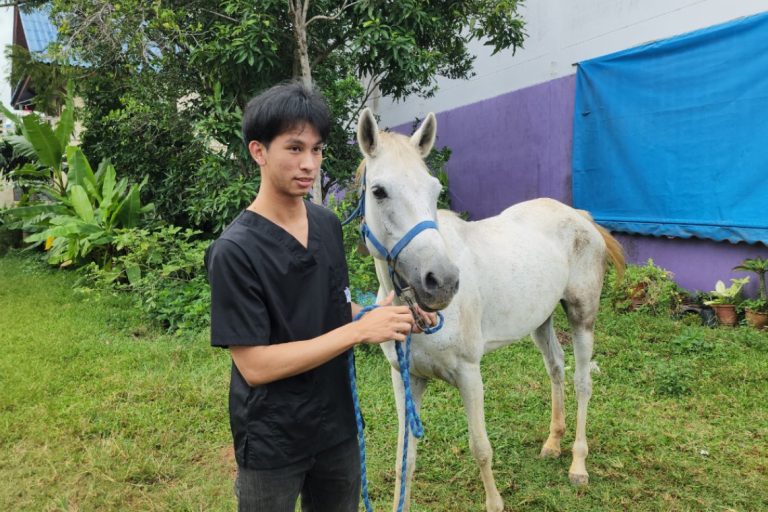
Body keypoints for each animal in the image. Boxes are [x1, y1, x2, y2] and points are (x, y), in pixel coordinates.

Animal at [353, 108, 625, 512]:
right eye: (379, 191)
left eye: (434, 191)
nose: (443, 281)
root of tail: (579, 216)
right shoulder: (404, 378)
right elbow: (406, 458)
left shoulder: (469, 374)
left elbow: (480, 448)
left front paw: (495, 502)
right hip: (541, 320)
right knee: (556, 368)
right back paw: (552, 442)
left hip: (582, 316)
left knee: (582, 381)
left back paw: (578, 464)